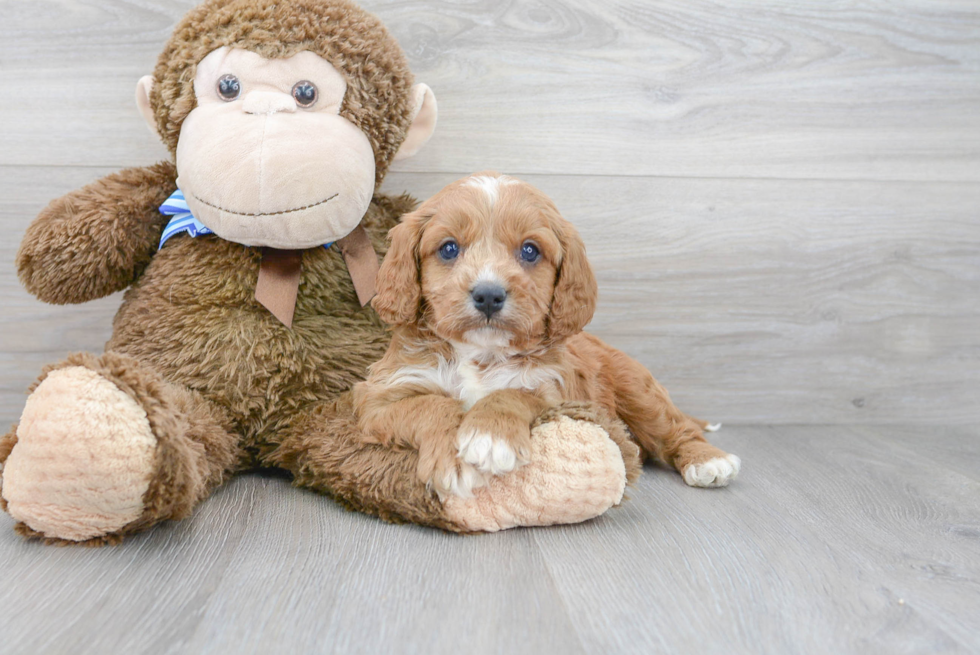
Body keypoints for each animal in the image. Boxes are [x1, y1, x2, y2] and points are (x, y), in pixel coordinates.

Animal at [356, 173, 740, 498]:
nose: (489, 295)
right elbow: (431, 404)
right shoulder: (378, 399)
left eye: (530, 250)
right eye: (449, 248)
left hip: (639, 391)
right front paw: (456, 459)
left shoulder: (556, 390)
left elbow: (512, 392)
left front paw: (490, 436)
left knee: (674, 428)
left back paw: (708, 460)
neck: (480, 352)